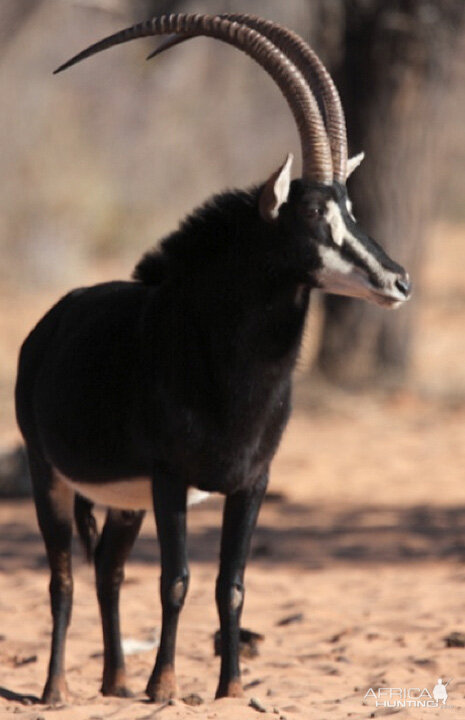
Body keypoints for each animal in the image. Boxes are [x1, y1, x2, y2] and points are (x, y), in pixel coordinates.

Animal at [15, 14, 410, 704]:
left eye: (352, 210)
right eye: (313, 212)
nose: (398, 280)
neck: (226, 363)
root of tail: (47, 326)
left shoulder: (252, 483)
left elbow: (233, 585)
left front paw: (229, 688)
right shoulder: (171, 478)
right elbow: (176, 581)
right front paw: (165, 687)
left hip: (125, 500)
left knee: (108, 569)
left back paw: (115, 683)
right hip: (51, 477)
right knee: (63, 577)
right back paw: (57, 690)